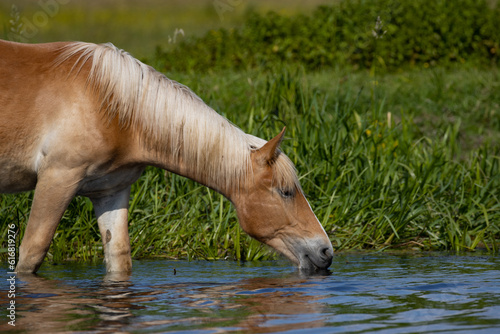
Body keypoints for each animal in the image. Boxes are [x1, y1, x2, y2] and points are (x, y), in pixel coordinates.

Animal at [0, 39, 336, 274]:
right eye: (286, 192)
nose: (326, 252)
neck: (111, 106)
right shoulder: (58, 179)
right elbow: (31, 254)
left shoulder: (110, 191)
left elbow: (119, 259)